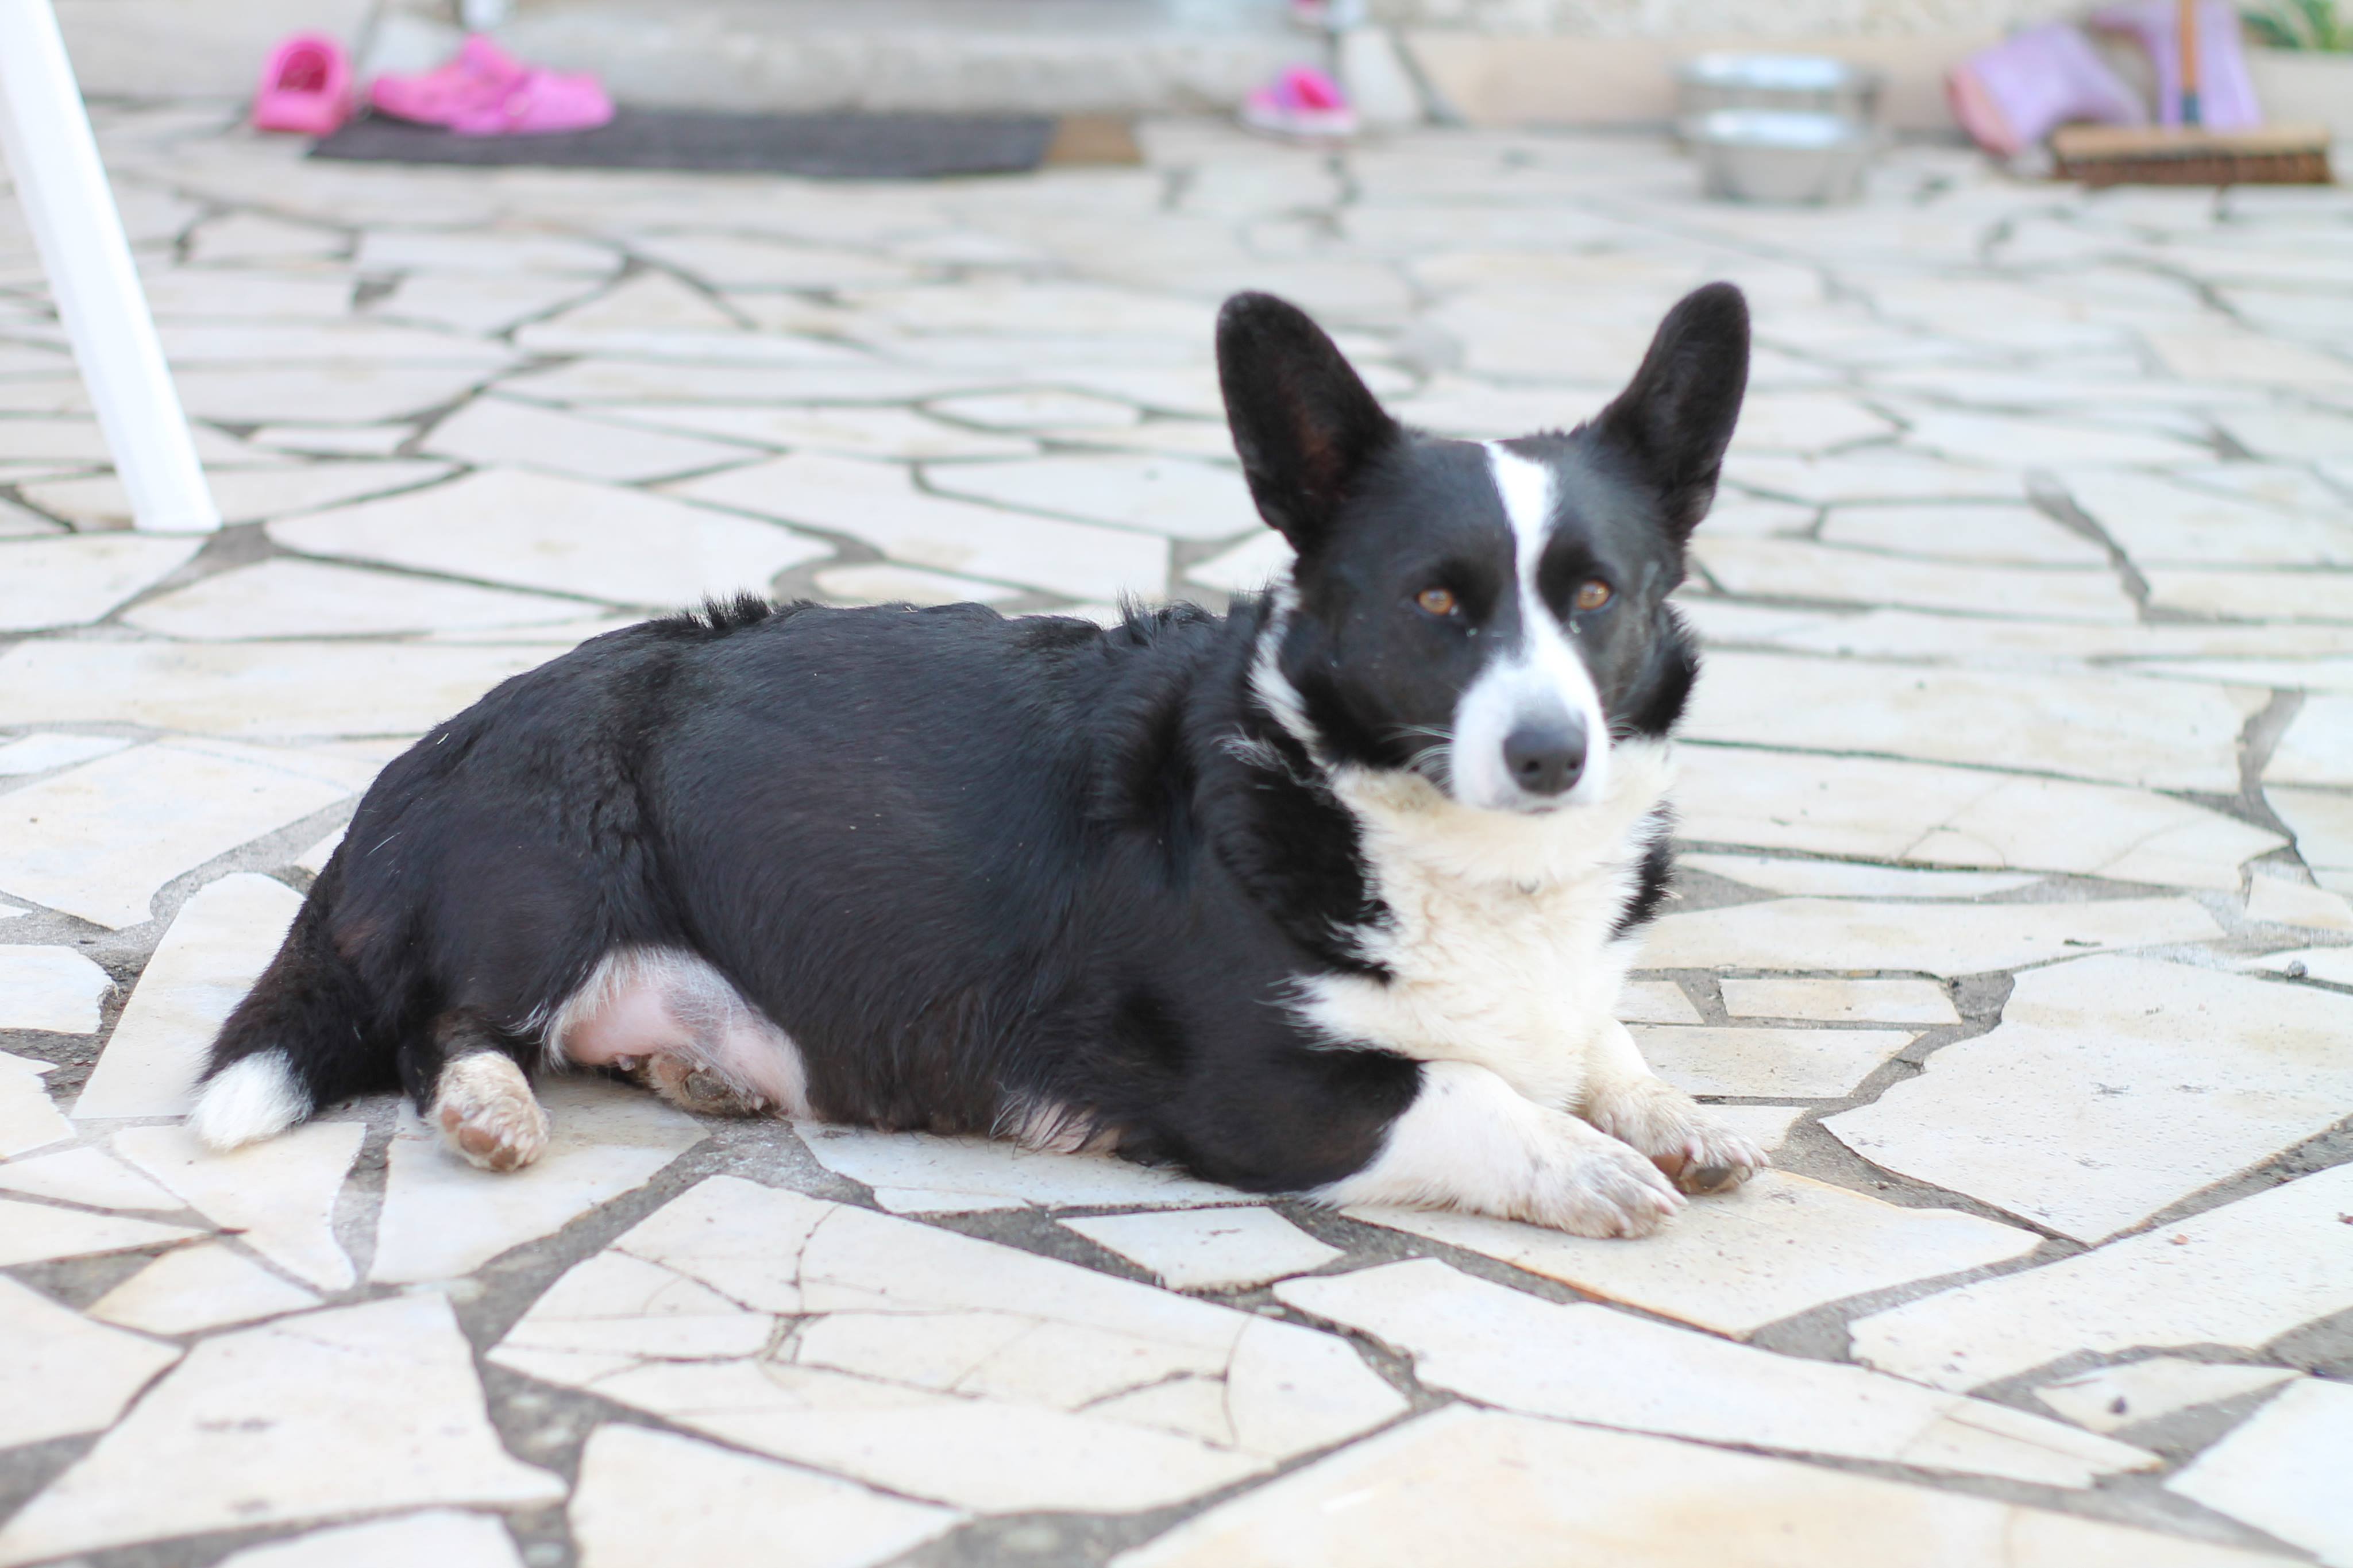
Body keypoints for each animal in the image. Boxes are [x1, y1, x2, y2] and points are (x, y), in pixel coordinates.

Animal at [192, 282, 1760, 1241]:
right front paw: (1589, 1163)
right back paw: (490, 1104)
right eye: (1437, 604)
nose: (1551, 755)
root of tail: (429, 753)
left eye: (1596, 596)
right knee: (441, 1025)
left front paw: (1668, 1115)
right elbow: (1477, 1094)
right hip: (547, 870)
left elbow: (1600, 1044)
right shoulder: (1268, 1092)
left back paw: (701, 1072)